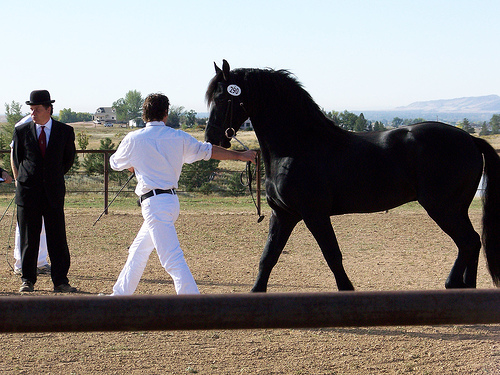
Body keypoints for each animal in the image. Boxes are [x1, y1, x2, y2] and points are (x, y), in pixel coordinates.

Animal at [204, 60, 500, 292]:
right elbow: (268, 257)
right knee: (472, 243)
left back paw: (453, 284)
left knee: (468, 242)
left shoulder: (314, 214)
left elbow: (332, 256)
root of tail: (470, 139)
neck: (297, 146)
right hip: (456, 208)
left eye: (222, 98)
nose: (212, 138)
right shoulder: (284, 214)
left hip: (443, 208)